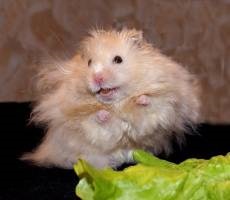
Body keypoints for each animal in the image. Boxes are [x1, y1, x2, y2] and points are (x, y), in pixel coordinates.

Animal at [22, 28, 200, 169]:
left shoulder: (163, 105)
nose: (97, 78)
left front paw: (141, 99)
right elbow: (95, 121)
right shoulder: (80, 118)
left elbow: (150, 106)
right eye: (89, 63)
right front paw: (103, 114)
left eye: (118, 59)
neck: (116, 103)